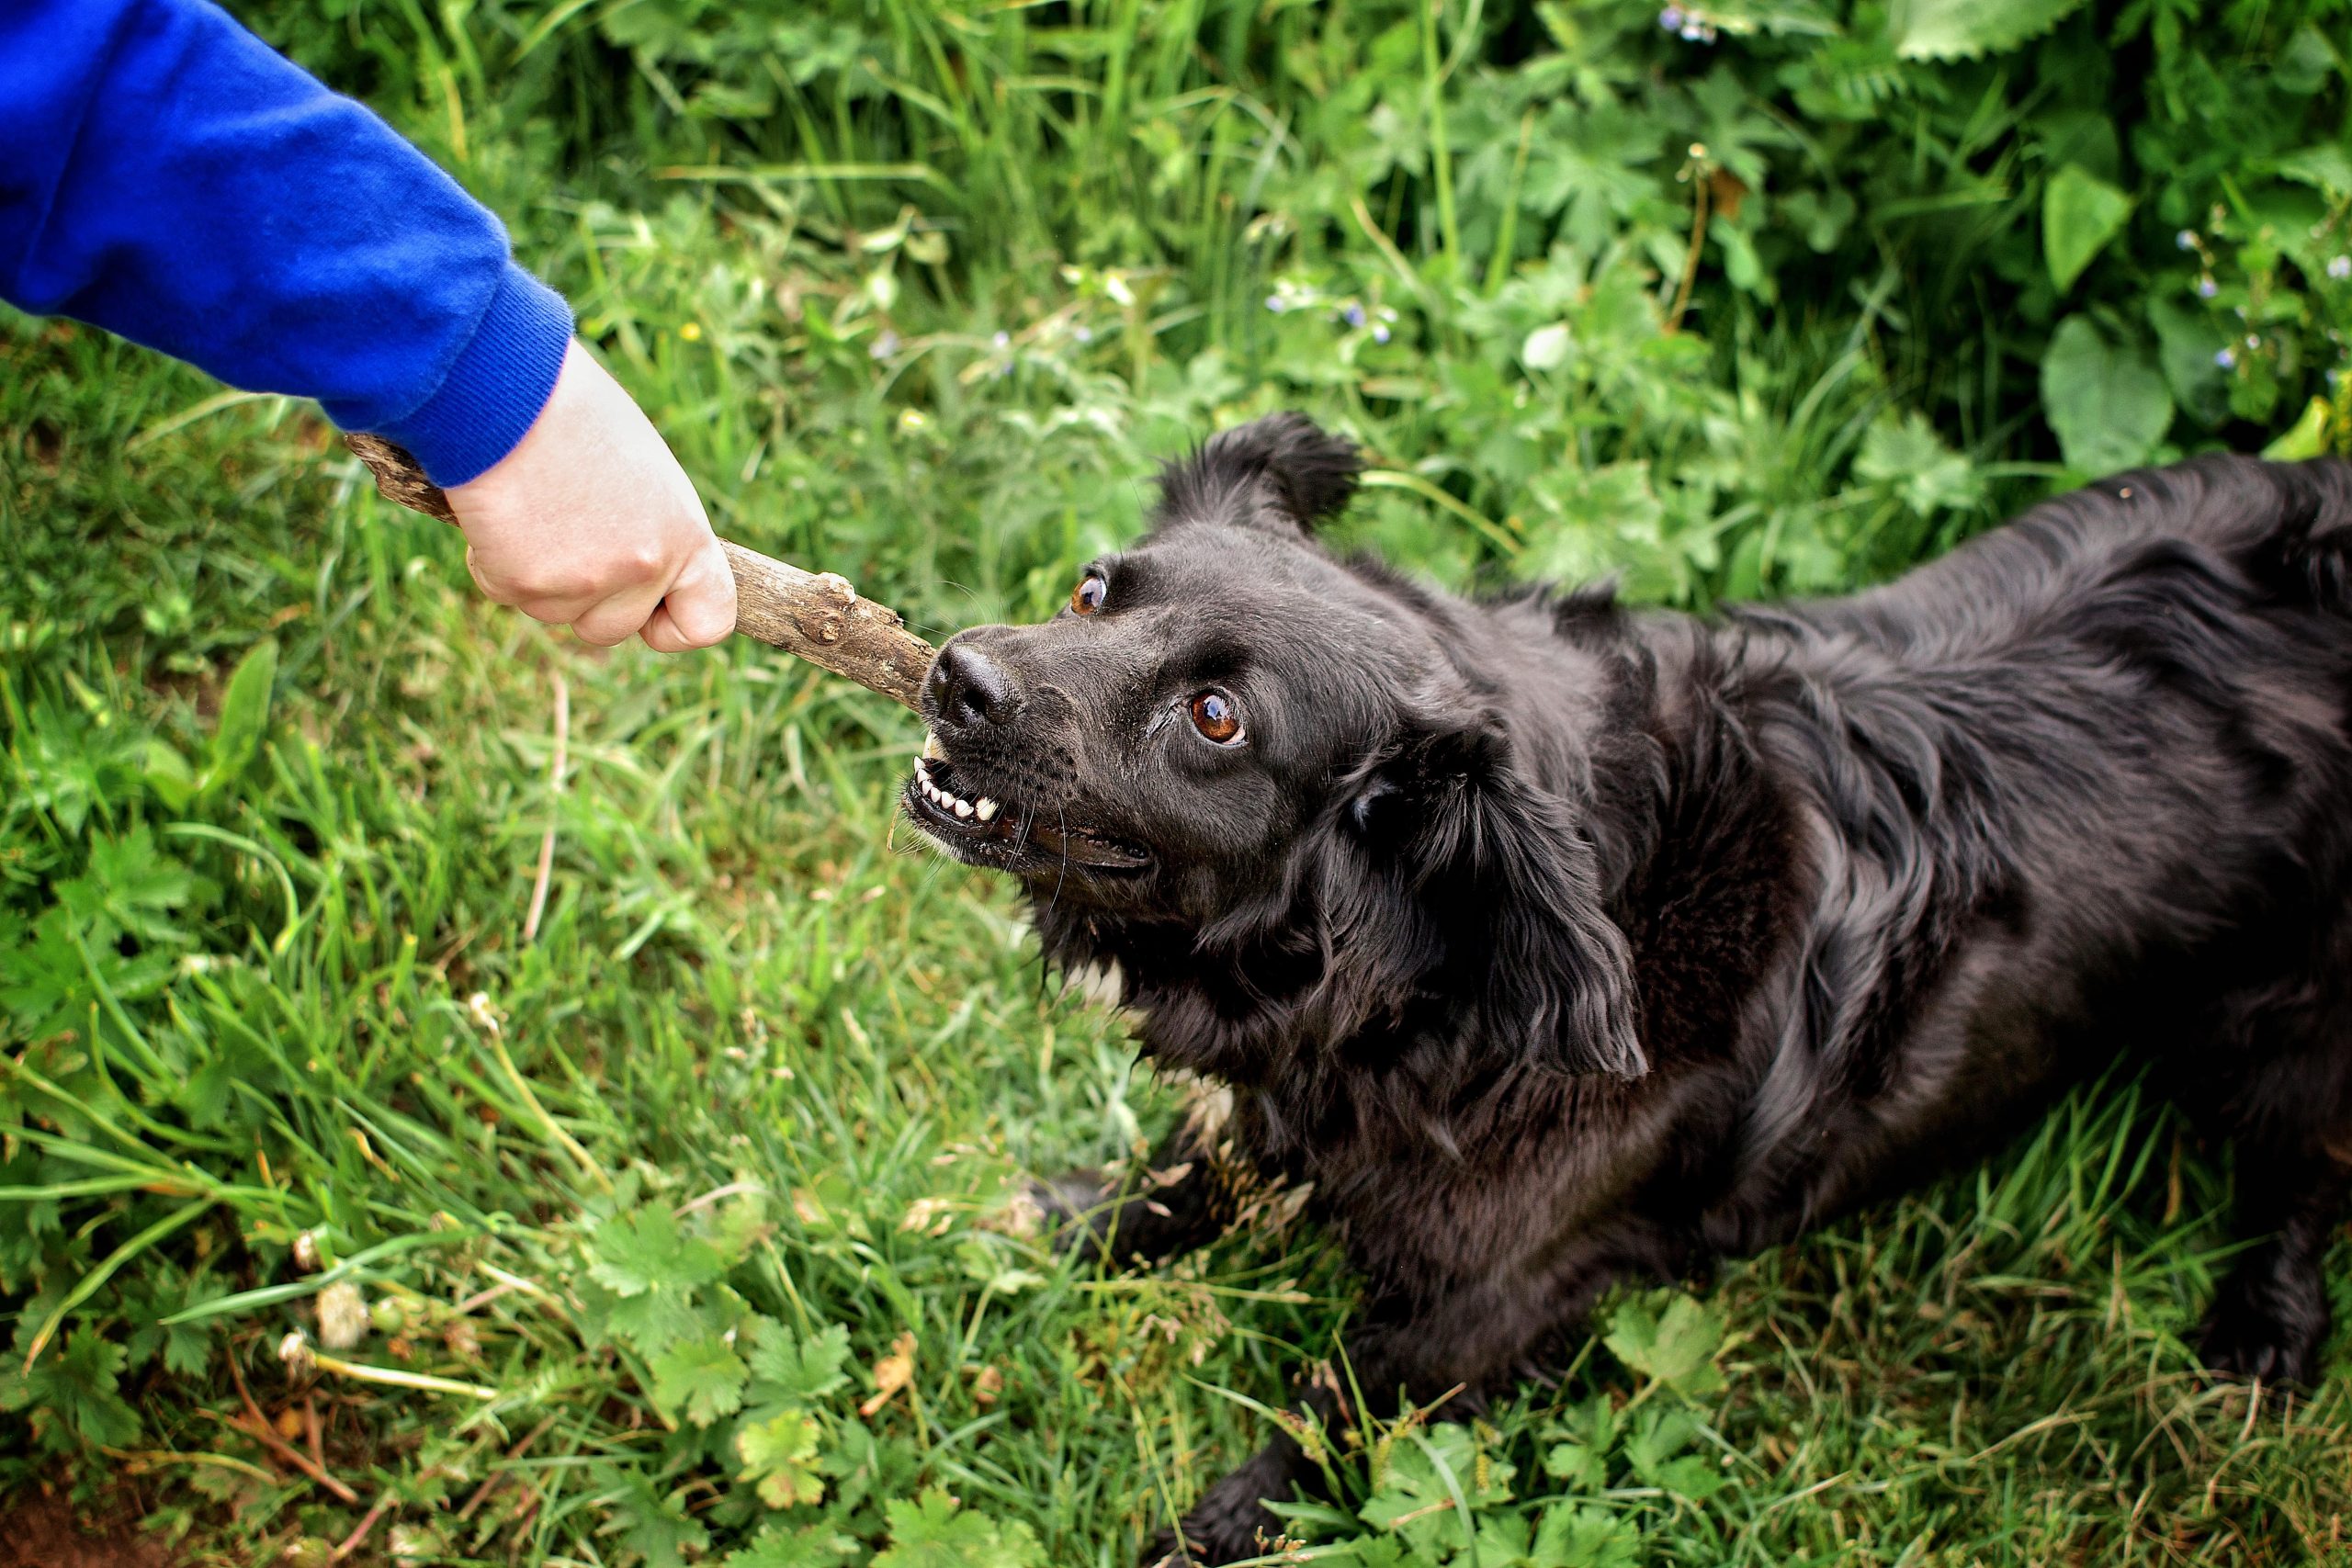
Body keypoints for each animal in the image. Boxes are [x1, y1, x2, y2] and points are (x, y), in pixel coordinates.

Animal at [903, 411, 2352, 1561]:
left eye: (1218, 719)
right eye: (1093, 590)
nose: (958, 674)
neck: (1439, 978)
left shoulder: (1485, 1309)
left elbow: (1318, 1430)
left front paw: (1201, 1532)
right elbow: (1183, 1173)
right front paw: (1038, 1224)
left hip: (2274, 1022)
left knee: (2306, 1164)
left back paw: (2265, 1329)